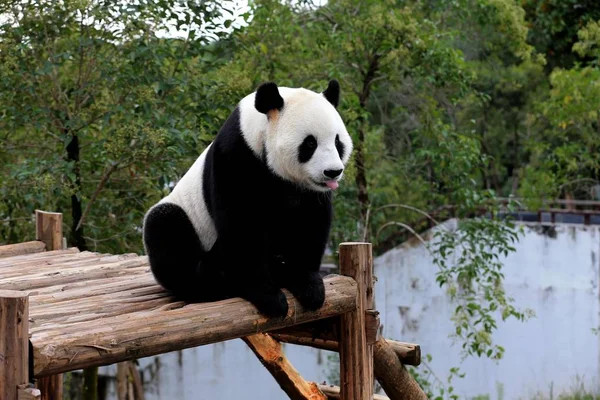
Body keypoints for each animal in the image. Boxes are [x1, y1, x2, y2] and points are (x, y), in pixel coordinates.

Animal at [142, 80, 352, 318]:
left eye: (338, 142)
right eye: (310, 143)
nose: (333, 172)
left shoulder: (308, 191)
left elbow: (309, 224)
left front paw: (309, 286)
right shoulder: (236, 157)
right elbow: (242, 227)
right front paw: (269, 297)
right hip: (185, 216)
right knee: (167, 232)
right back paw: (214, 274)